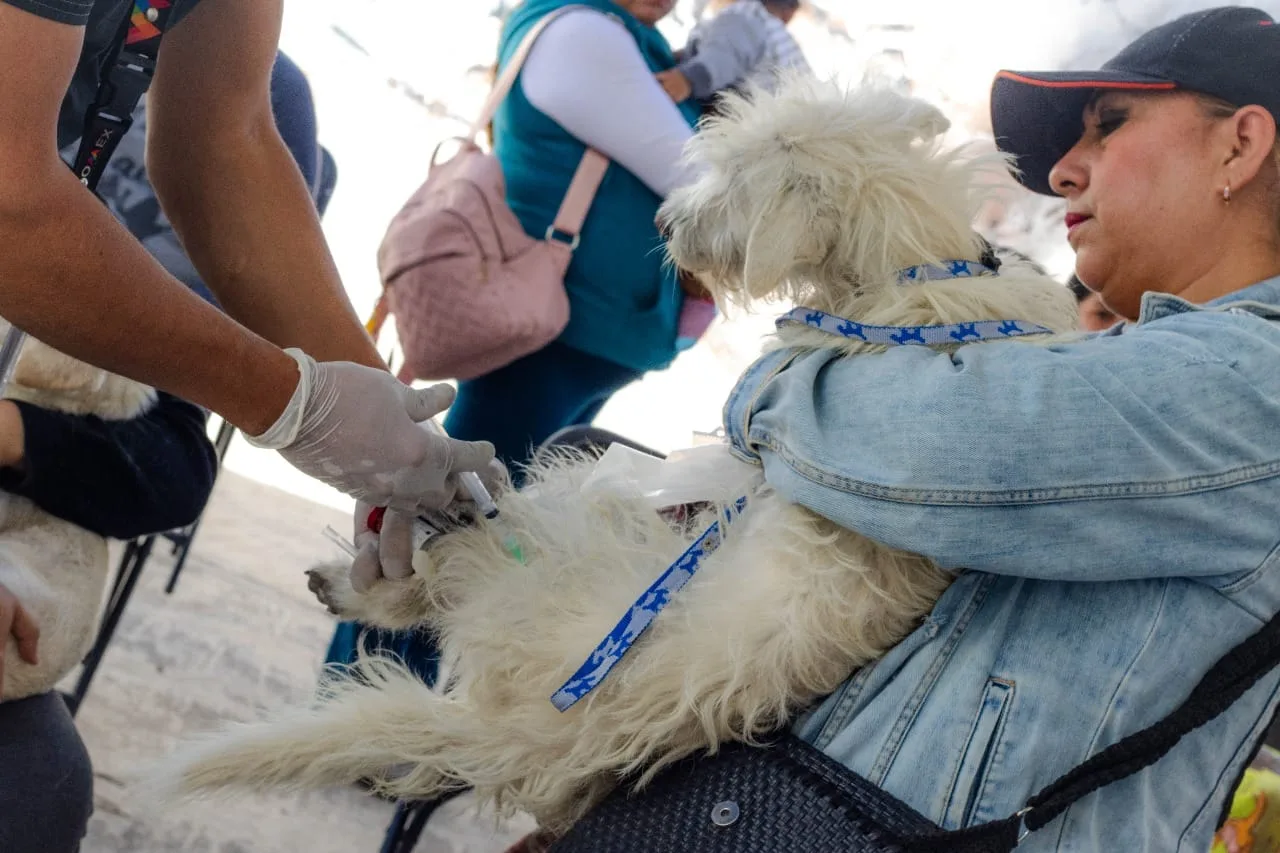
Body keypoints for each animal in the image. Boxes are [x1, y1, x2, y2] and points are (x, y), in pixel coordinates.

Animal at [160, 79, 1080, 829]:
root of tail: (508, 730)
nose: (665, 222)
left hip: (564, 542)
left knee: (451, 569)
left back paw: (366, 577)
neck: (921, 268)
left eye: (731, 179)